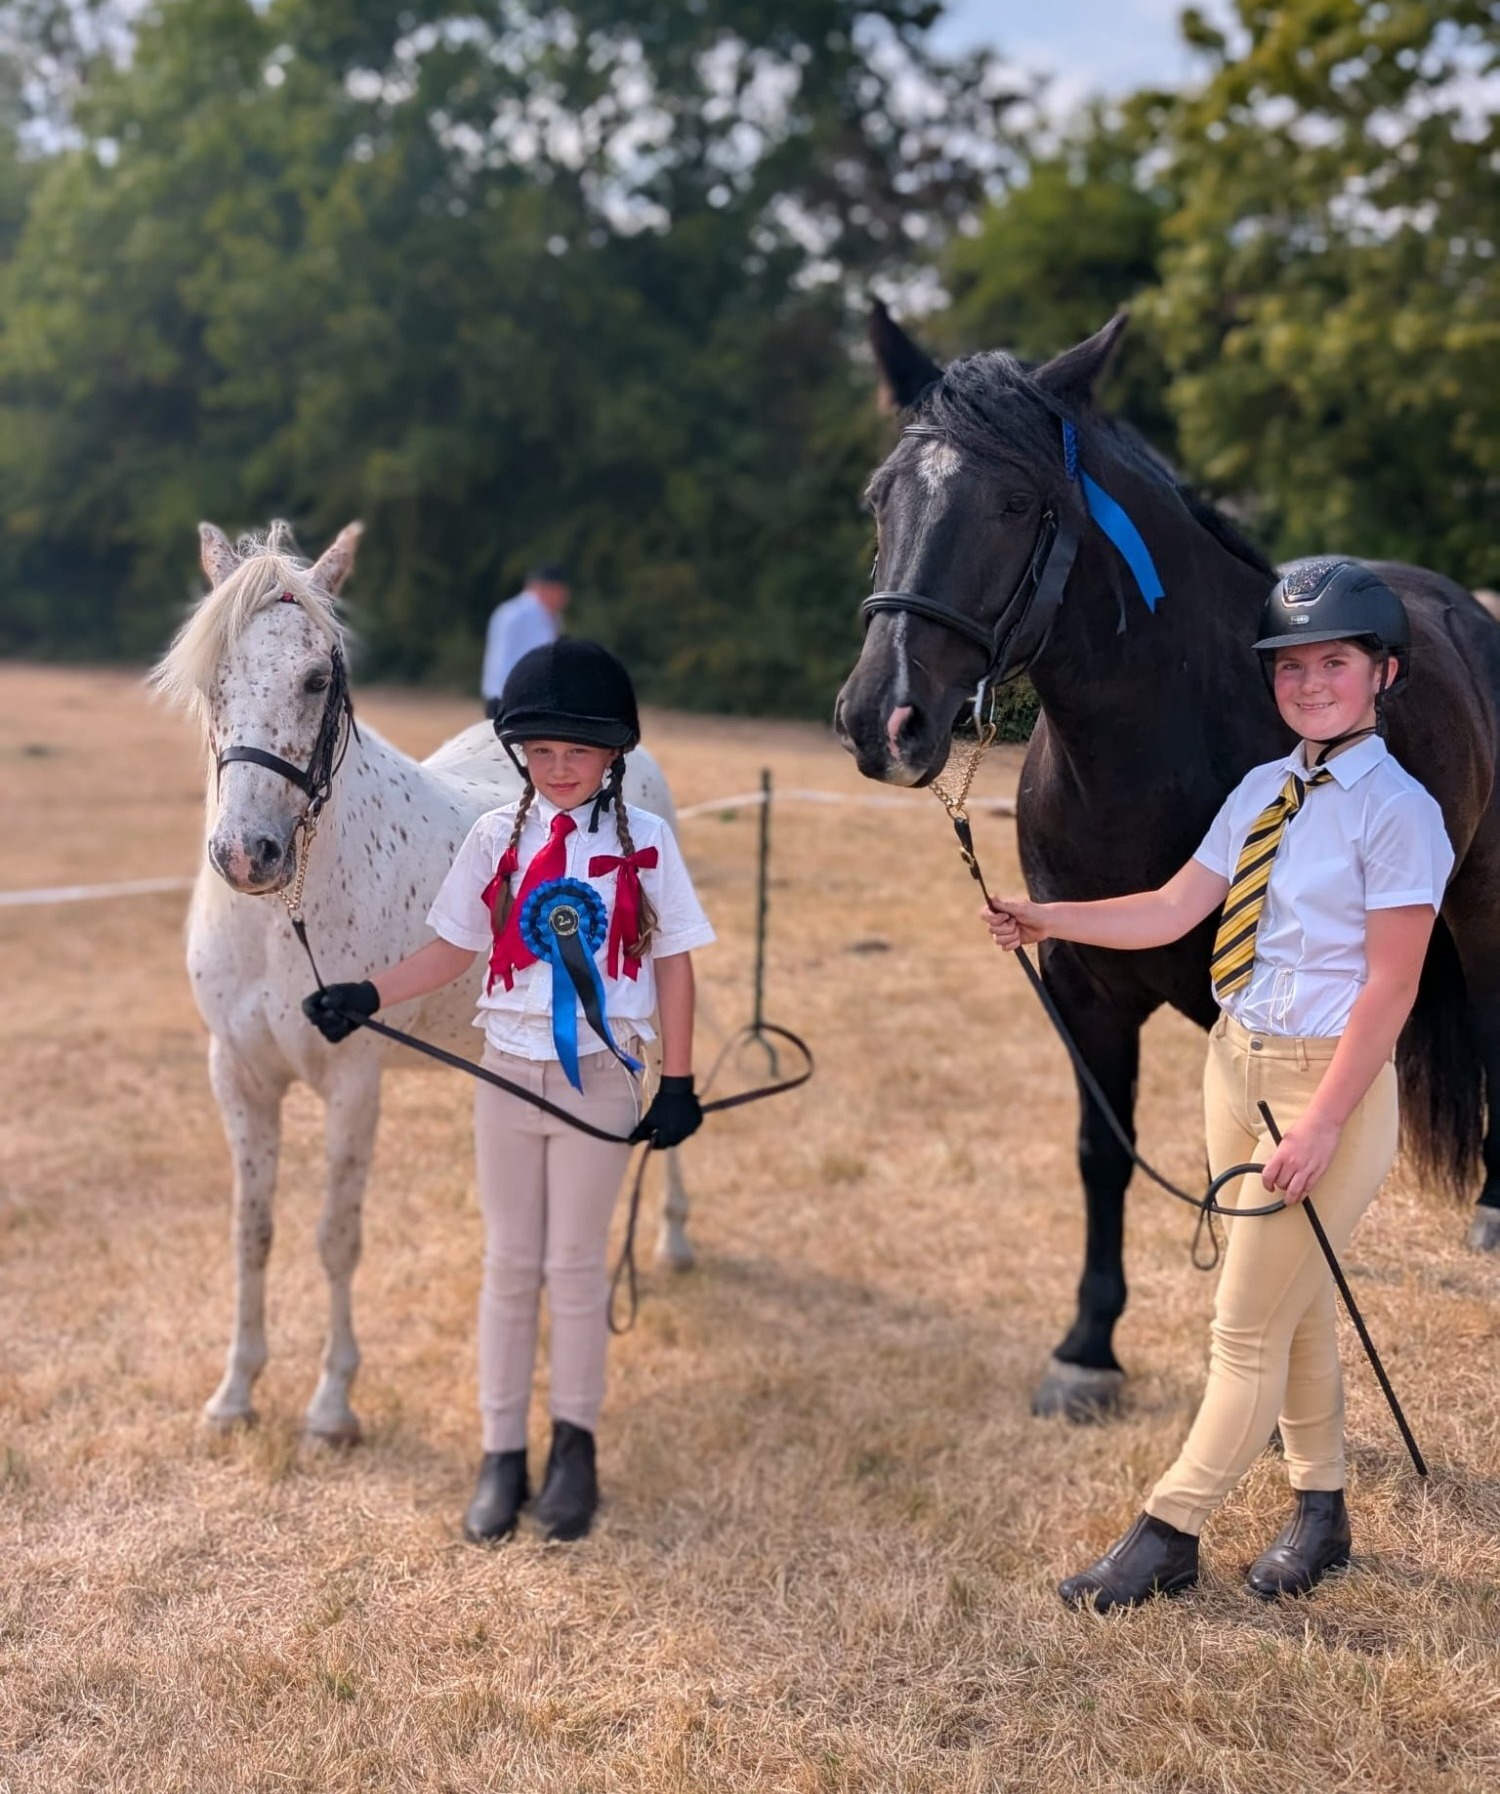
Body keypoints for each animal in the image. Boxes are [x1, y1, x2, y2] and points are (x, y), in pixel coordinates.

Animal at [834, 306, 1500, 1421]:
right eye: (882, 497)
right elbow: (1105, 1153)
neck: (1167, 735)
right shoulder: (1083, 984)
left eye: (1016, 502)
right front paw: (1086, 1350)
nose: (883, 720)